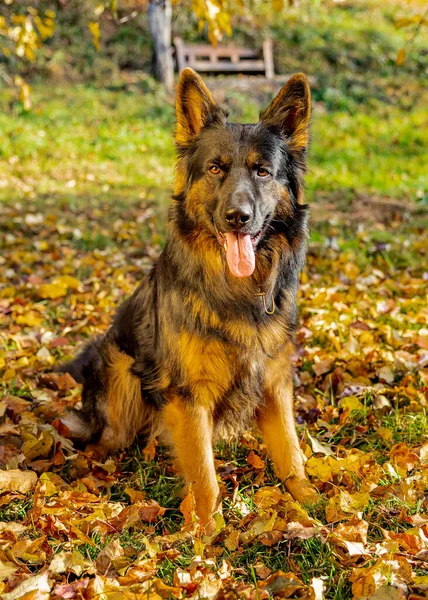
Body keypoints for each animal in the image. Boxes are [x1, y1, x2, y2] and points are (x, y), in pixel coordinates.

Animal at [63, 68, 318, 532]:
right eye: (215, 168)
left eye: (263, 172)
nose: (238, 217)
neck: (237, 291)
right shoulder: (188, 394)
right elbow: (203, 471)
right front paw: (206, 532)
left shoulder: (273, 380)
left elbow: (290, 452)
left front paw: (313, 503)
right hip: (121, 368)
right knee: (106, 440)